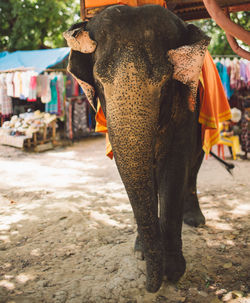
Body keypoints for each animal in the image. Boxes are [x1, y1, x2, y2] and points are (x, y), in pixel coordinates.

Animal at [63, 4, 210, 294]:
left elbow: (175, 166)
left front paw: (173, 271)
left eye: (165, 82)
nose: (149, 286)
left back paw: (195, 220)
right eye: (99, 81)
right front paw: (141, 252)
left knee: (195, 164)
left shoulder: (187, 105)